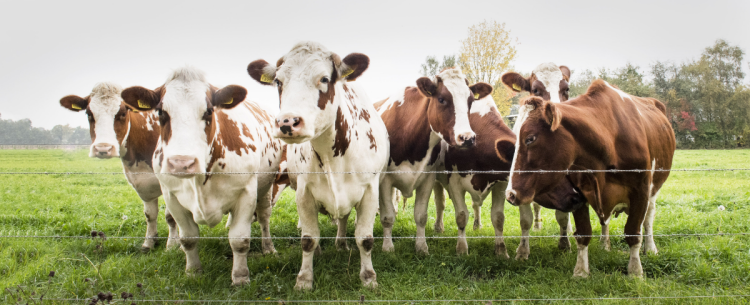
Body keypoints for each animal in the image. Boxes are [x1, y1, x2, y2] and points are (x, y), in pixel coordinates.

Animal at [59, 83, 179, 252]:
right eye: (89, 113)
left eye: (122, 113)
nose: (103, 148)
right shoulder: (142, 183)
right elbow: (150, 215)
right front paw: (149, 243)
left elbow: (170, 216)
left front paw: (172, 245)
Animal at [122, 66, 284, 284]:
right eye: (161, 112)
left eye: (208, 111)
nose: (182, 163)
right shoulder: (171, 196)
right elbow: (188, 238)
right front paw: (192, 271)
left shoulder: (246, 192)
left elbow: (239, 240)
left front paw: (240, 277)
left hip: (266, 186)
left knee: (265, 217)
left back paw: (268, 248)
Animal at [248, 41, 390, 288]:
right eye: (278, 82)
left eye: (324, 79)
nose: (287, 122)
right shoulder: (304, 192)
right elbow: (308, 239)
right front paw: (304, 279)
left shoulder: (370, 191)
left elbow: (365, 239)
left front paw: (369, 277)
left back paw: (341, 243)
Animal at [374, 68, 494, 254]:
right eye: (441, 99)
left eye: (470, 101)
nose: (467, 138)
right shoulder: (385, 180)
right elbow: (387, 216)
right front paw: (387, 247)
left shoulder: (428, 178)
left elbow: (421, 215)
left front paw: (421, 247)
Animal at [508, 79, 680, 278]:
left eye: (530, 139)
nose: (510, 194)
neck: (608, 140)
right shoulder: (579, 194)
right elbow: (583, 233)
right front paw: (581, 271)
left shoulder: (641, 191)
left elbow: (633, 232)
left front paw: (635, 271)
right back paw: (605, 243)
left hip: (654, 190)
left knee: (648, 219)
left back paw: (650, 248)